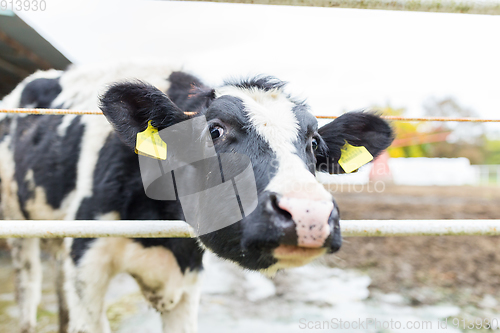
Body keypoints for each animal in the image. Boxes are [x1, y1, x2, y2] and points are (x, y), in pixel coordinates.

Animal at [0, 61, 392, 330]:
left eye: (314, 143)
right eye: (214, 130)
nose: (308, 213)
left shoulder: (188, 279)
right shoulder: (87, 262)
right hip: (19, 226)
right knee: (28, 289)